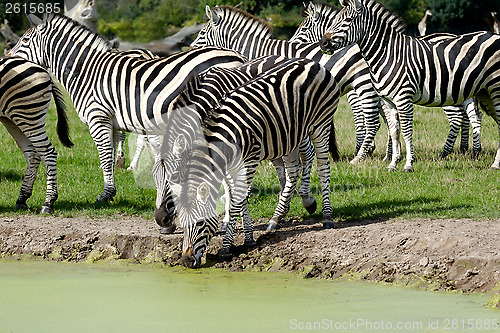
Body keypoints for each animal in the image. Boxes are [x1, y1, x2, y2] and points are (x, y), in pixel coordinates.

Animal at [0, 55, 73, 213]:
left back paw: (48, 202)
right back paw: (22, 199)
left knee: (48, 152)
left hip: (28, 115)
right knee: (33, 154)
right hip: (12, 119)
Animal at [8, 13, 247, 205]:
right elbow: (111, 155)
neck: (87, 72)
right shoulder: (112, 123)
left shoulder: (98, 118)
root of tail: (238, 56)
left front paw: (105, 195)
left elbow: (105, 157)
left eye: (25, 40)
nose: (8, 60)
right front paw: (112, 190)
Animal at [157, 56, 340, 268]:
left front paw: (227, 247)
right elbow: (236, 195)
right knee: (293, 170)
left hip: (320, 124)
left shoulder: (249, 160)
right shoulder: (229, 164)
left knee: (321, 167)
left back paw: (325, 215)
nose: (186, 261)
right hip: (288, 134)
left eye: (200, 222)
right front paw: (247, 236)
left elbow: (238, 197)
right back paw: (277, 217)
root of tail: (310, 62)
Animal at [320, 0, 500, 171]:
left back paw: (492, 163)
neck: (388, 54)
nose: (323, 43)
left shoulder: (402, 98)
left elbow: (406, 131)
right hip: (484, 92)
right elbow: (394, 132)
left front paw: (408, 164)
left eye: (348, 20)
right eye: (335, 19)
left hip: (494, 89)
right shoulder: (388, 101)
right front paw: (393, 164)